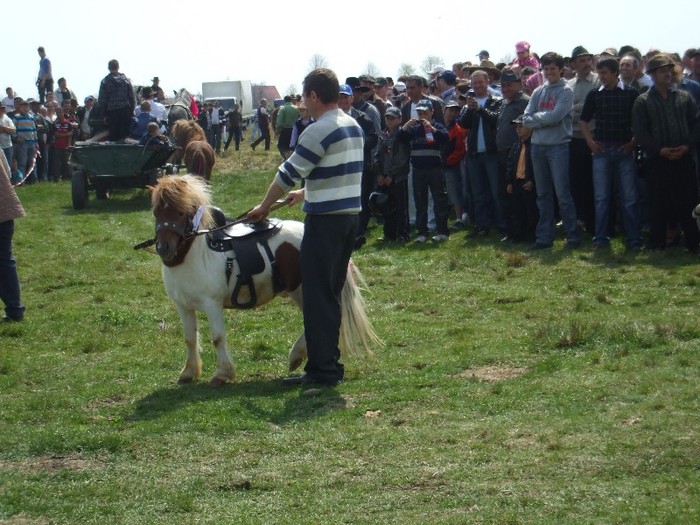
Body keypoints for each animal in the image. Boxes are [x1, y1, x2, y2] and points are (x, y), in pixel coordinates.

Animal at [151, 175, 382, 384]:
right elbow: (190, 339)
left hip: (303, 290)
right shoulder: (183, 305)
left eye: (180, 212)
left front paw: (222, 374)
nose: (164, 248)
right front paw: (189, 372)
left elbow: (217, 338)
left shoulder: (212, 305)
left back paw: (297, 355)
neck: (195, 254)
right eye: (155, 212)